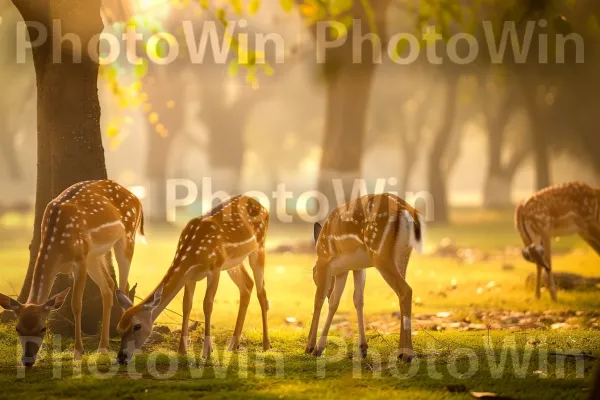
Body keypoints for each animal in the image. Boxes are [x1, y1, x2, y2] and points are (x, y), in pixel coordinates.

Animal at [0, 180, 145, 368]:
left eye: (42, 328)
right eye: (18, 328)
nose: (27, 361)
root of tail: (136, 198)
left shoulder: (80, 260)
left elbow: (76, 304)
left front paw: (77, 352)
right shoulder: (82, 259)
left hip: (127, 238)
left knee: (123, 285)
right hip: (94, 255)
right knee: (109, 286)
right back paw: (102, 347)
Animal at [115, 195, 270, 364]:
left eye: (137, 326)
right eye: (119, 327)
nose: (121, 358)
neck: (193, 255)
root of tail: (263, 207)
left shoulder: (215, 268)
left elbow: (207, 304)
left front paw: (207, 352)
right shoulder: (190, 277)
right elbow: (186, 305)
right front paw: (182, 350)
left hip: (259, 248)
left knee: (262, 293)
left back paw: (266, 345)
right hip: (233, 262)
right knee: (247, 285)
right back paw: (232, 345)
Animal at [308, 194, 424, 362]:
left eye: (313, 273)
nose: (310, 347)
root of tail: (407, 211)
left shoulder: (325, 261)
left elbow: (319, 300)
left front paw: (312, 347)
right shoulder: (354, 267)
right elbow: (352, 300)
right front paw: (362, 348)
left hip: (381, 255)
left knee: (406, 290)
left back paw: (407, 353)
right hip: (403, 255)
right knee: (402, 293)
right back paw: (401, 353)